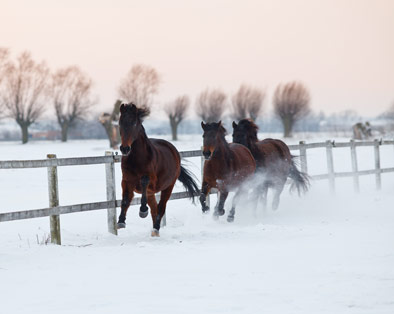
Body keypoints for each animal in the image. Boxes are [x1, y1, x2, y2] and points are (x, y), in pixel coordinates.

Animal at [116, 103, 197, 236]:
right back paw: (155, 230)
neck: (136, 159)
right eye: (120, 123)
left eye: (134, 123)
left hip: (168, 187)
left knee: (161, 207)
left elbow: (144, 181)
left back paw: (155, 228)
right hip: (152, 192)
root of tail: (174, 150)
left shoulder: (152, 182)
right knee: (155, 208)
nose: (125, 149)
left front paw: (143, 211)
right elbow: (126, 199)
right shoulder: (126, 181)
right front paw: (121, 222)